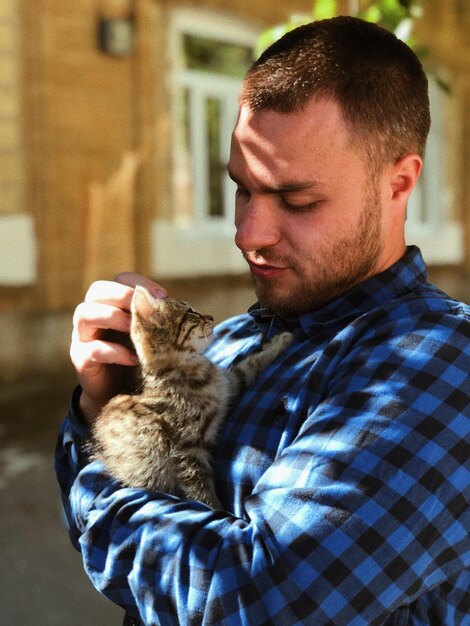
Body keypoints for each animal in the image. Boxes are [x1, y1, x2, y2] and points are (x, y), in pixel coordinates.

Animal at [90, 286, 292, 508]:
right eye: (189, 313)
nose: (210, 316)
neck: (189, 368)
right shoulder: (188, 449)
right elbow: (202, 492)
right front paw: (217, 508)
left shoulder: (227, 384)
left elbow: (249, 365)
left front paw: (280, 341)